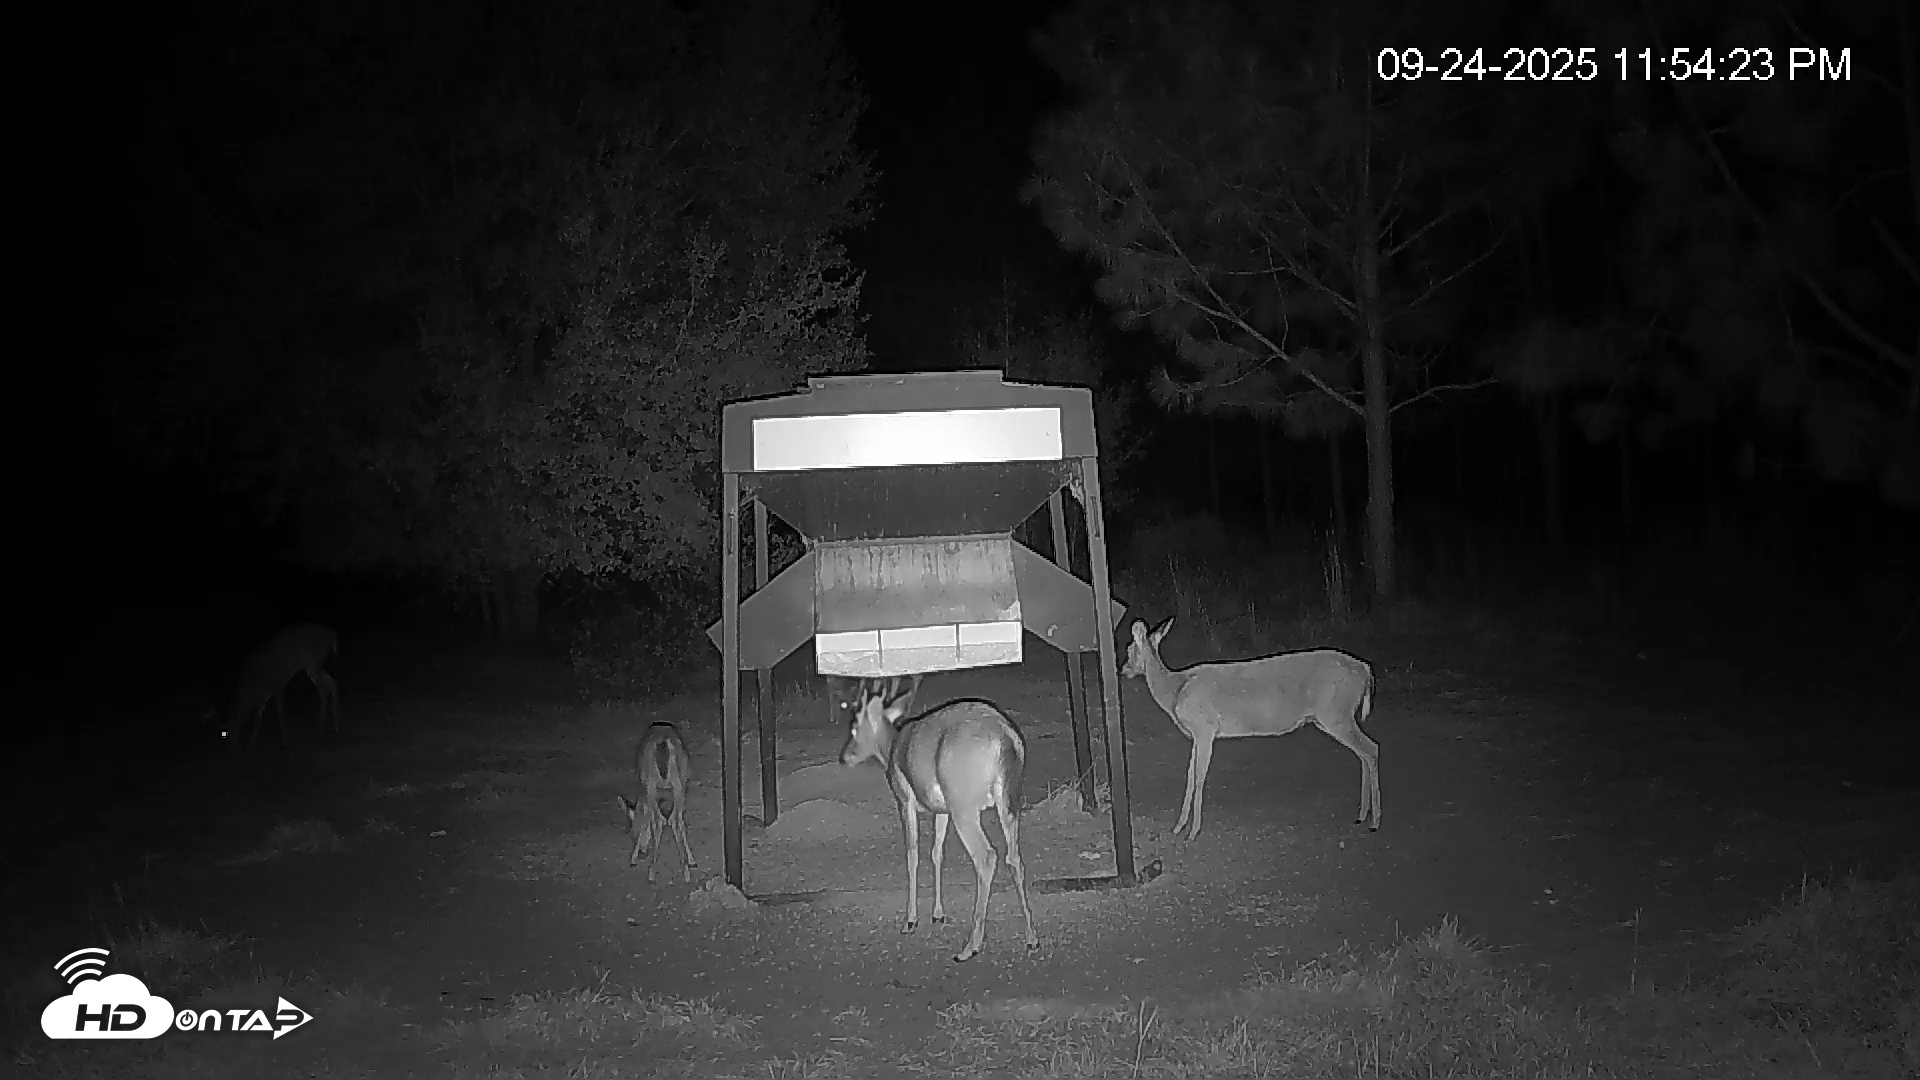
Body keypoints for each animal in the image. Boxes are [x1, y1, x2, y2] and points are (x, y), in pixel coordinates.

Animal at [616, 722, 696, 884]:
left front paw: (633, 859)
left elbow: (648, 817)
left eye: (633, 831)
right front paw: (691, 860)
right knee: (675, 820)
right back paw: (686, 871)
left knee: (659, 821)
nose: (643, 852)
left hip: (651, 783)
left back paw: (652, 873)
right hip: (679, 782)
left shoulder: (647, 791)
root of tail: (663, 743)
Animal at [839, 680, 1038, 963]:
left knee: (987, 856)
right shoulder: (941, 810)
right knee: (1014, 858)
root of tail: (1007, 738)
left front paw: (910, 921)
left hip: (964, 805)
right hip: (1008, 801)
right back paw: (1032, 939)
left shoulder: (905, 799)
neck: (891, 747)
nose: (845, 757)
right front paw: (938, 913)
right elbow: (937, 853)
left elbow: (912, 854)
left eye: (855, 725)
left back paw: (970, 947)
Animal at [1121, 616, 1378, 840]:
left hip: (1337, 713)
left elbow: (1199, 776)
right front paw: (1178, 826)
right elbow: (1190, 774)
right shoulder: (1196, 734)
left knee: (1371, 748)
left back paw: (1375, 821)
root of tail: (1366, 669)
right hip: (1331, 717)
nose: (1124, 670)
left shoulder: (1205, 728)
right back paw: (1362, 815)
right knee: (1363, 752)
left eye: (1129, 649)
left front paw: (1192, 832)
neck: (1175, 690)